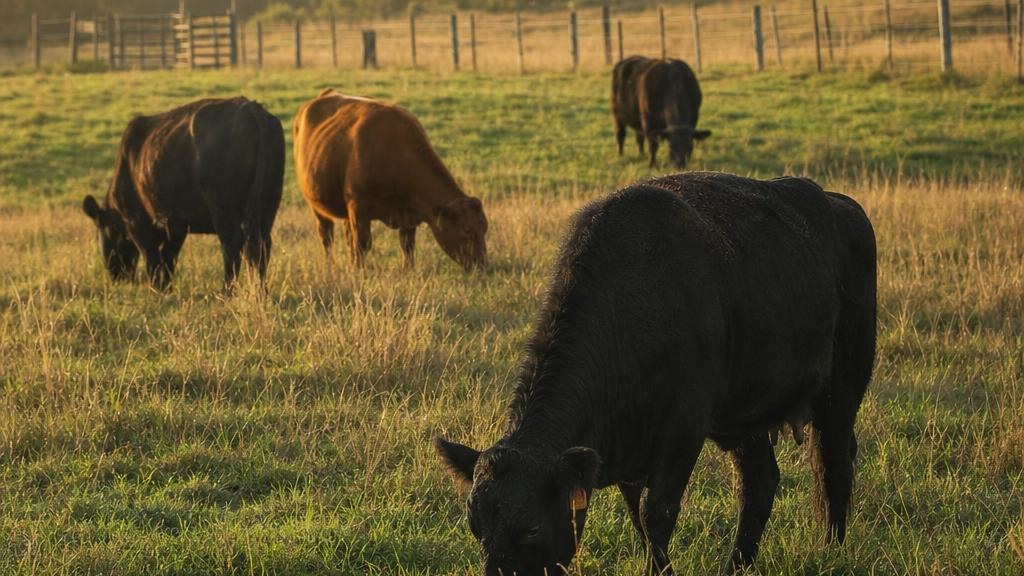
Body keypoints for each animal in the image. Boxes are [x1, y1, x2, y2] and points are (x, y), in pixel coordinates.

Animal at [82, 97, 284, 292]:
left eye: (105, 231)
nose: (117, 277)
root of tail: (252, 109)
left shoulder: (137, 222)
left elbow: (152, 258)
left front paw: (156, 289)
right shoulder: (177, 226)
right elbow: (169, 257)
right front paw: (166, 288)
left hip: (222, 209)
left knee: (232, 246)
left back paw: (226, 292)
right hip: (268, 206)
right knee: (262, 247)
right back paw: (261, 292)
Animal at [293, 89, 488, 271]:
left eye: (484, 228)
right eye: (467, 230)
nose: (482, 265)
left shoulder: (408, 216)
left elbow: (407, 246)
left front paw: (408, 270)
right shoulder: (359, 208)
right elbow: (362, 244)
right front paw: (359, 272)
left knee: (347, 236)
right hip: (316, 205)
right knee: (326, 235)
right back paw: (331, 266)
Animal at [436, 172, 877, 576]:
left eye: (530, 528)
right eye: (476, 526)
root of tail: (841, 205)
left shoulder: (683, 432)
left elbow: (657, 513)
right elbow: (640, 520)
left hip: (841, 392)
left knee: (832, 464)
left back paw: (831, 549)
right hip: (745, 419)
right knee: (759, 483)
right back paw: (737, 565)